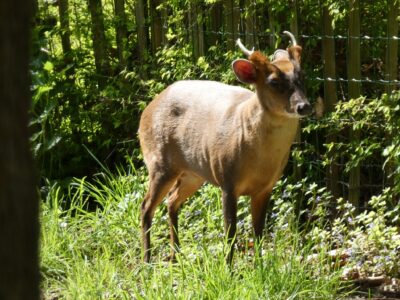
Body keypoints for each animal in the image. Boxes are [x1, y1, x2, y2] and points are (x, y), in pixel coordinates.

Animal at [139, 31, 310, 264]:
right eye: (274, 81)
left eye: (301, 76)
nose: (304, 106)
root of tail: (146, 110)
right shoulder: (227, 181)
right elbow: (231, 233)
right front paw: (228, 268)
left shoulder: (266, 187)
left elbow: (259, 231)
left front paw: (260, 266)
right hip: (159, 163)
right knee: (146, 206)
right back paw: (147, 261)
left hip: (194, 173)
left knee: (171, 201)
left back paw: (177, 255)